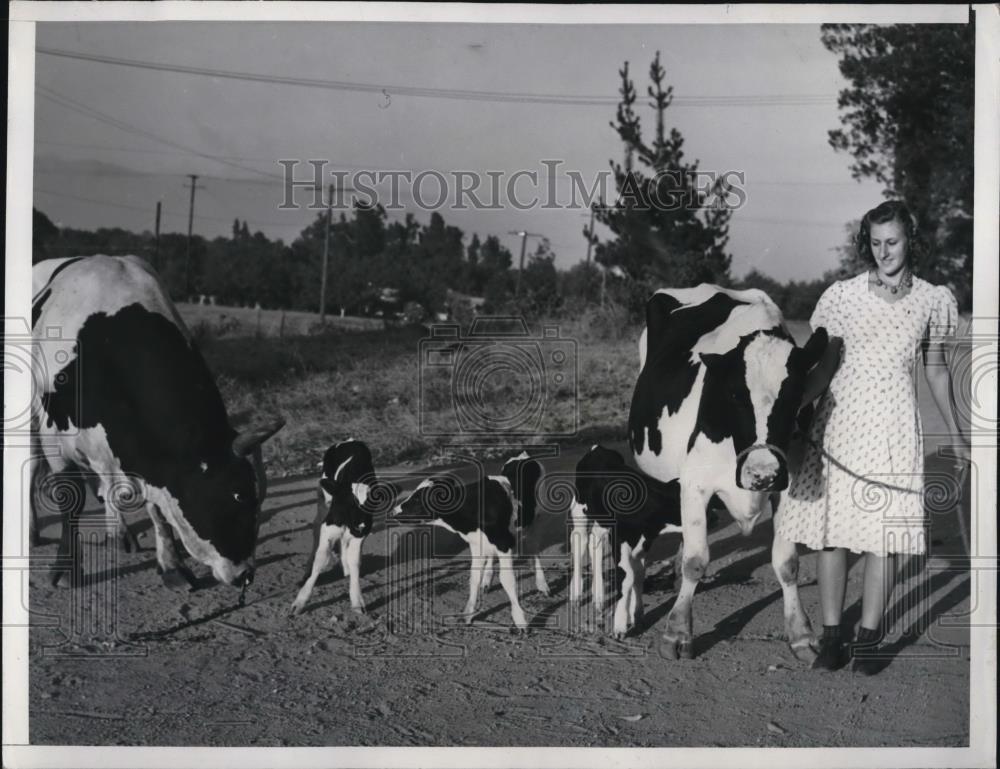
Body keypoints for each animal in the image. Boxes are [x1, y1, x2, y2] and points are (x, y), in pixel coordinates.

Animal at [32, 256, 282, 588]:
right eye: (238, 494)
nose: (246, 575)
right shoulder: (53, 436)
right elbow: (70, 498)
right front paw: (66, 569)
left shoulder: (151, 460)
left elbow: (158, 510)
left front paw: (173, 564)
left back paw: (119, 534)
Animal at [294, 440, 380, 616]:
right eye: (345, 502)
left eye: (370, 504)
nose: (360, 527)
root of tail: (350, 441)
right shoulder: (329, 527)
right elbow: (320, 560)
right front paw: (300, 601)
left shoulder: (359, 535)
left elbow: (355, 561)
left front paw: (357, 600)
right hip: (323, 503)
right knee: (316, 531)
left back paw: (345, 567)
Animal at [390, 452, 548, 628]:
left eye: (418, 499)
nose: (394, 511)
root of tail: (524, 456)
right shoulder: (476, 543)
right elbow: (474, 577)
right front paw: (468, 613)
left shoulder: (503, 543)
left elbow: (507, 580)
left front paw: (520, 620)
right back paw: (487, 579)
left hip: (537, 519)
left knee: (534, 548)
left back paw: (542, 583)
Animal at [568, 440, 684, 640]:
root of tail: (597, 449)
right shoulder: (619, 539)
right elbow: (628, 575)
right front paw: (620, 625)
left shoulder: (642, 542)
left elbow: (639, 573)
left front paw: (637, 614)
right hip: (580, 509)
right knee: (580, 541)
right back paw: (576, 594)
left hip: (602, 521)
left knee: (594, 541)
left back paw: (598, 598)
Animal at [628, 284, 832, 656]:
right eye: (734, 394)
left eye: (795, 395)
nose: (762, 474)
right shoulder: (695, 483)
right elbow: (696, 560)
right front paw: (678, 631)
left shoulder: (789, 485)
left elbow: (787, 563)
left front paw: (801, 632)